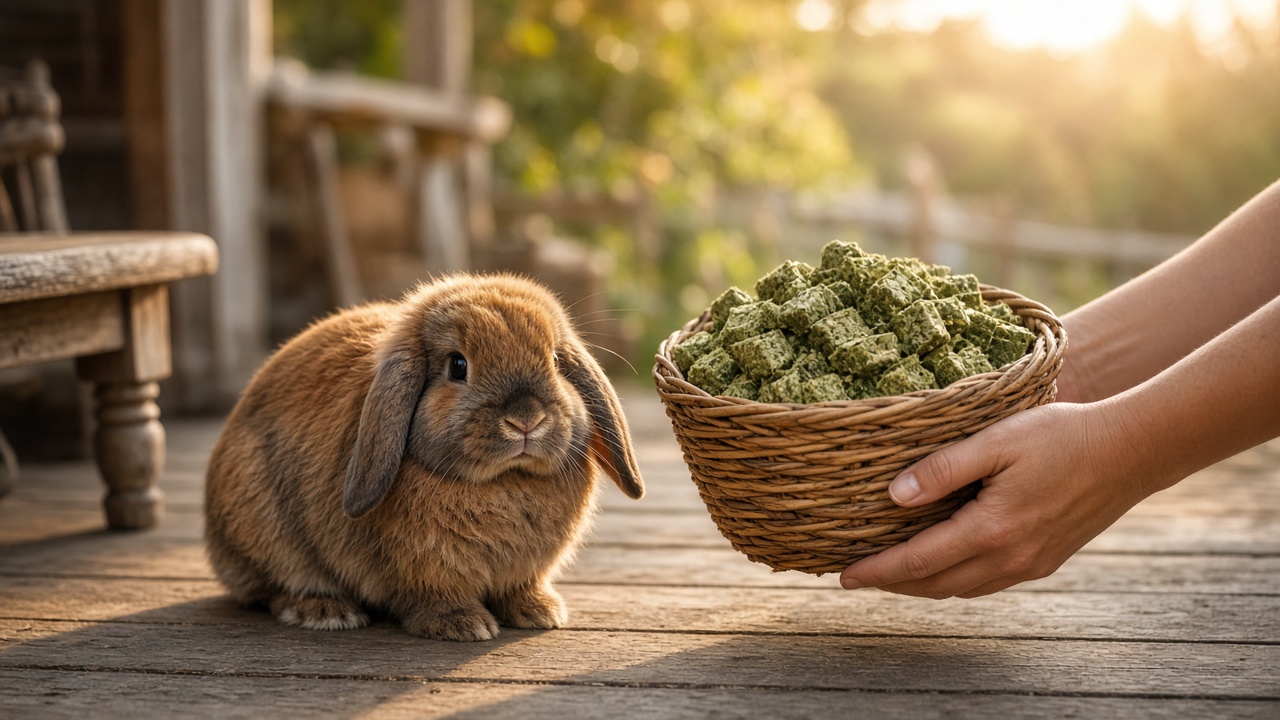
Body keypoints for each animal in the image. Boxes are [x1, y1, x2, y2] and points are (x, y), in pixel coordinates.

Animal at [204, 273, 644, 641]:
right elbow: (434, 596)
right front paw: (463, 625)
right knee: (275, 587)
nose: (526, 420)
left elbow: (520, 588)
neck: (503, 480)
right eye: (458, 365)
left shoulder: (525, 571)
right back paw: (327, 612)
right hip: (264, 530)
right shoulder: (426, 570)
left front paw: (539, 612)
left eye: (554, 360)